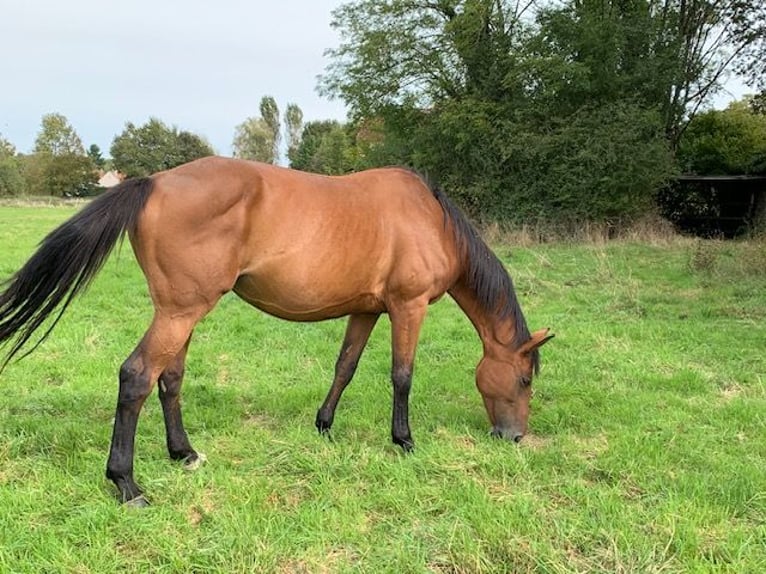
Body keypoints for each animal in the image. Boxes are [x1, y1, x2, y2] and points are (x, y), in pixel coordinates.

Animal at [0, 155, 552, 506]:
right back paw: (127, 485)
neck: (431, 221)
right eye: (525, 379)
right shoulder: (407, 307)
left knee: (169, 379)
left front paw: (325, 426)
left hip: (181, 313)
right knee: (136, 376)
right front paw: (404, 442)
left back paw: (184, 454)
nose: (514, 436)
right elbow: (402, 375)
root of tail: (153, 182)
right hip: (179, 312)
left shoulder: (366, 310)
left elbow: (346, 366)